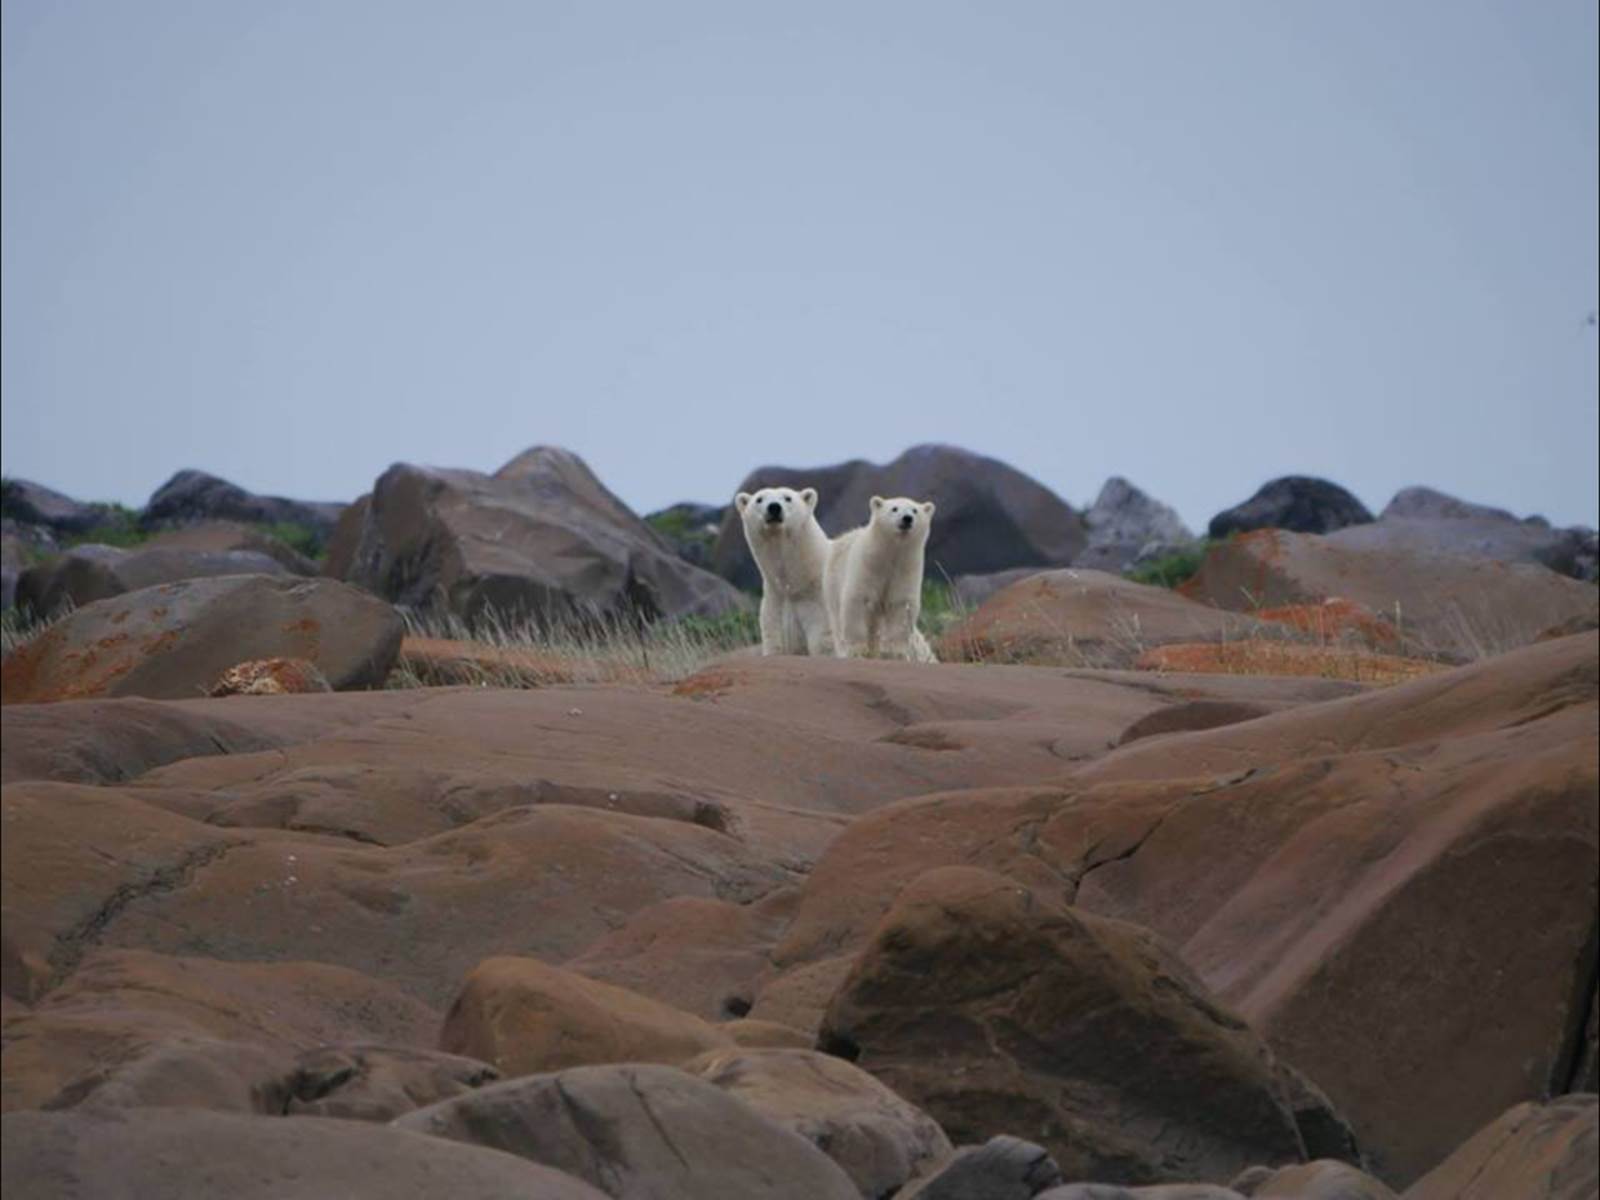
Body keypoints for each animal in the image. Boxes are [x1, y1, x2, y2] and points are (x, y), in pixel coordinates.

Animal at [735, 485, 835, 656]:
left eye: (788, 498)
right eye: (759, 499)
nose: (774, 507)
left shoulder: (820, 602)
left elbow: (823, 642)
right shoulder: (775, 604)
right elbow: (775, 643)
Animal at [824, 495, 938, 662]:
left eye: (915, 510)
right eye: (894, 508)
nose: (907, 518)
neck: (891, 553)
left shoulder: (906, 568)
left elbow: (901, 605)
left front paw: (896, 653)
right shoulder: (868, 564)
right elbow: (857, 600)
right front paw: (858, 651)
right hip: (832, 580)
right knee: (837, 618)